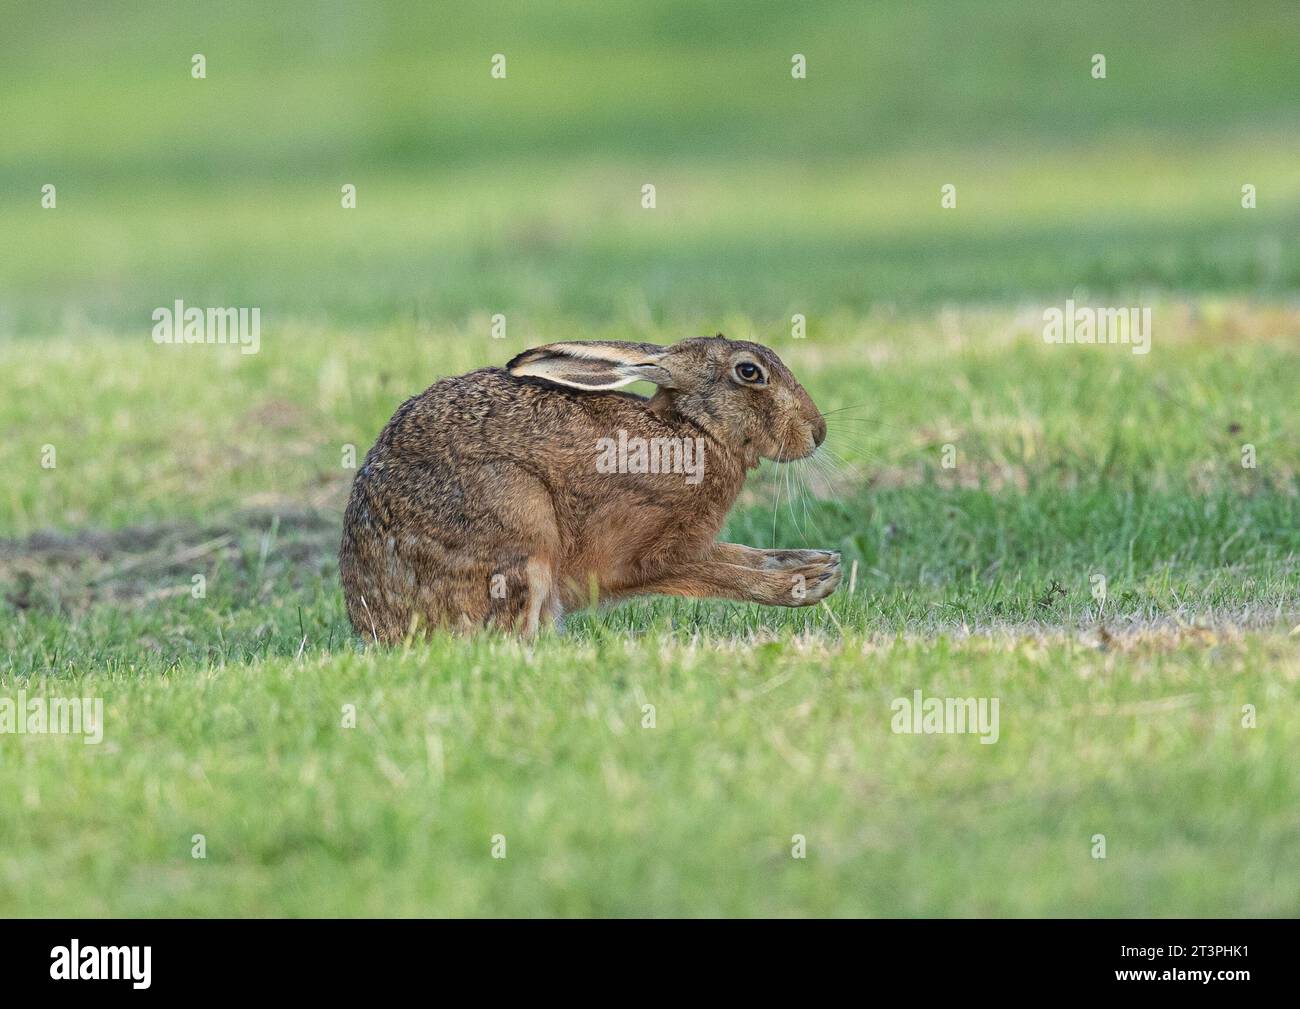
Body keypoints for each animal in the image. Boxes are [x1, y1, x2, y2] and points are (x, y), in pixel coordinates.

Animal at [339, 334, 841, 641]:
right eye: (749, 372)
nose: (817, 433)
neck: (697, 431)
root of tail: (373, 619)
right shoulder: (644, 558)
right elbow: (719, 574)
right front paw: (805, 585)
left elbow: (742, 555)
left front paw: (817, 563)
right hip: (520, 523)